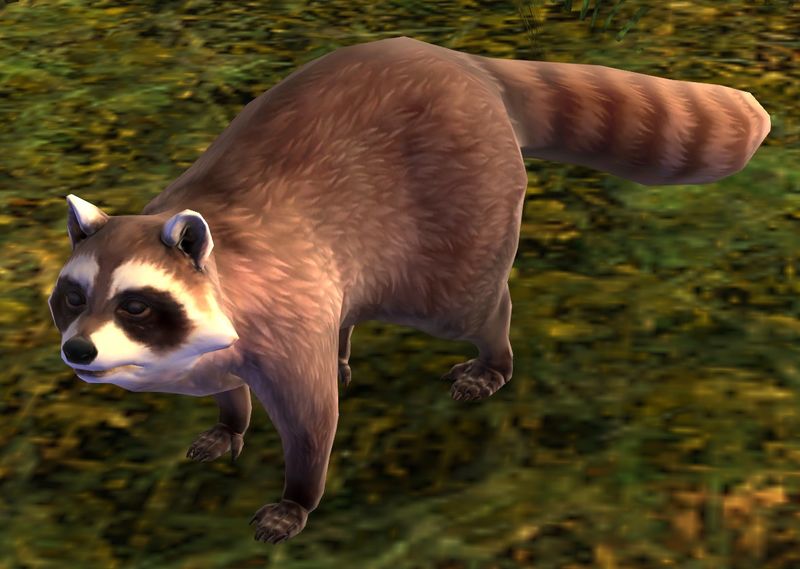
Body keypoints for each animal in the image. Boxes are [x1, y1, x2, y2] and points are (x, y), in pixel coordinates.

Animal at [48, 37, 770, 543]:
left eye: (135, 304)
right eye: (74, 299)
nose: (77, 351)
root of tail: (462, 63)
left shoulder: (282, 312)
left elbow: (311, 418)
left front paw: (298, 496)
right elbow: (227, 388)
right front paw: (231, 420)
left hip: (463, 212)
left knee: (474, 303)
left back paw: (492, 351)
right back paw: (346, 343)